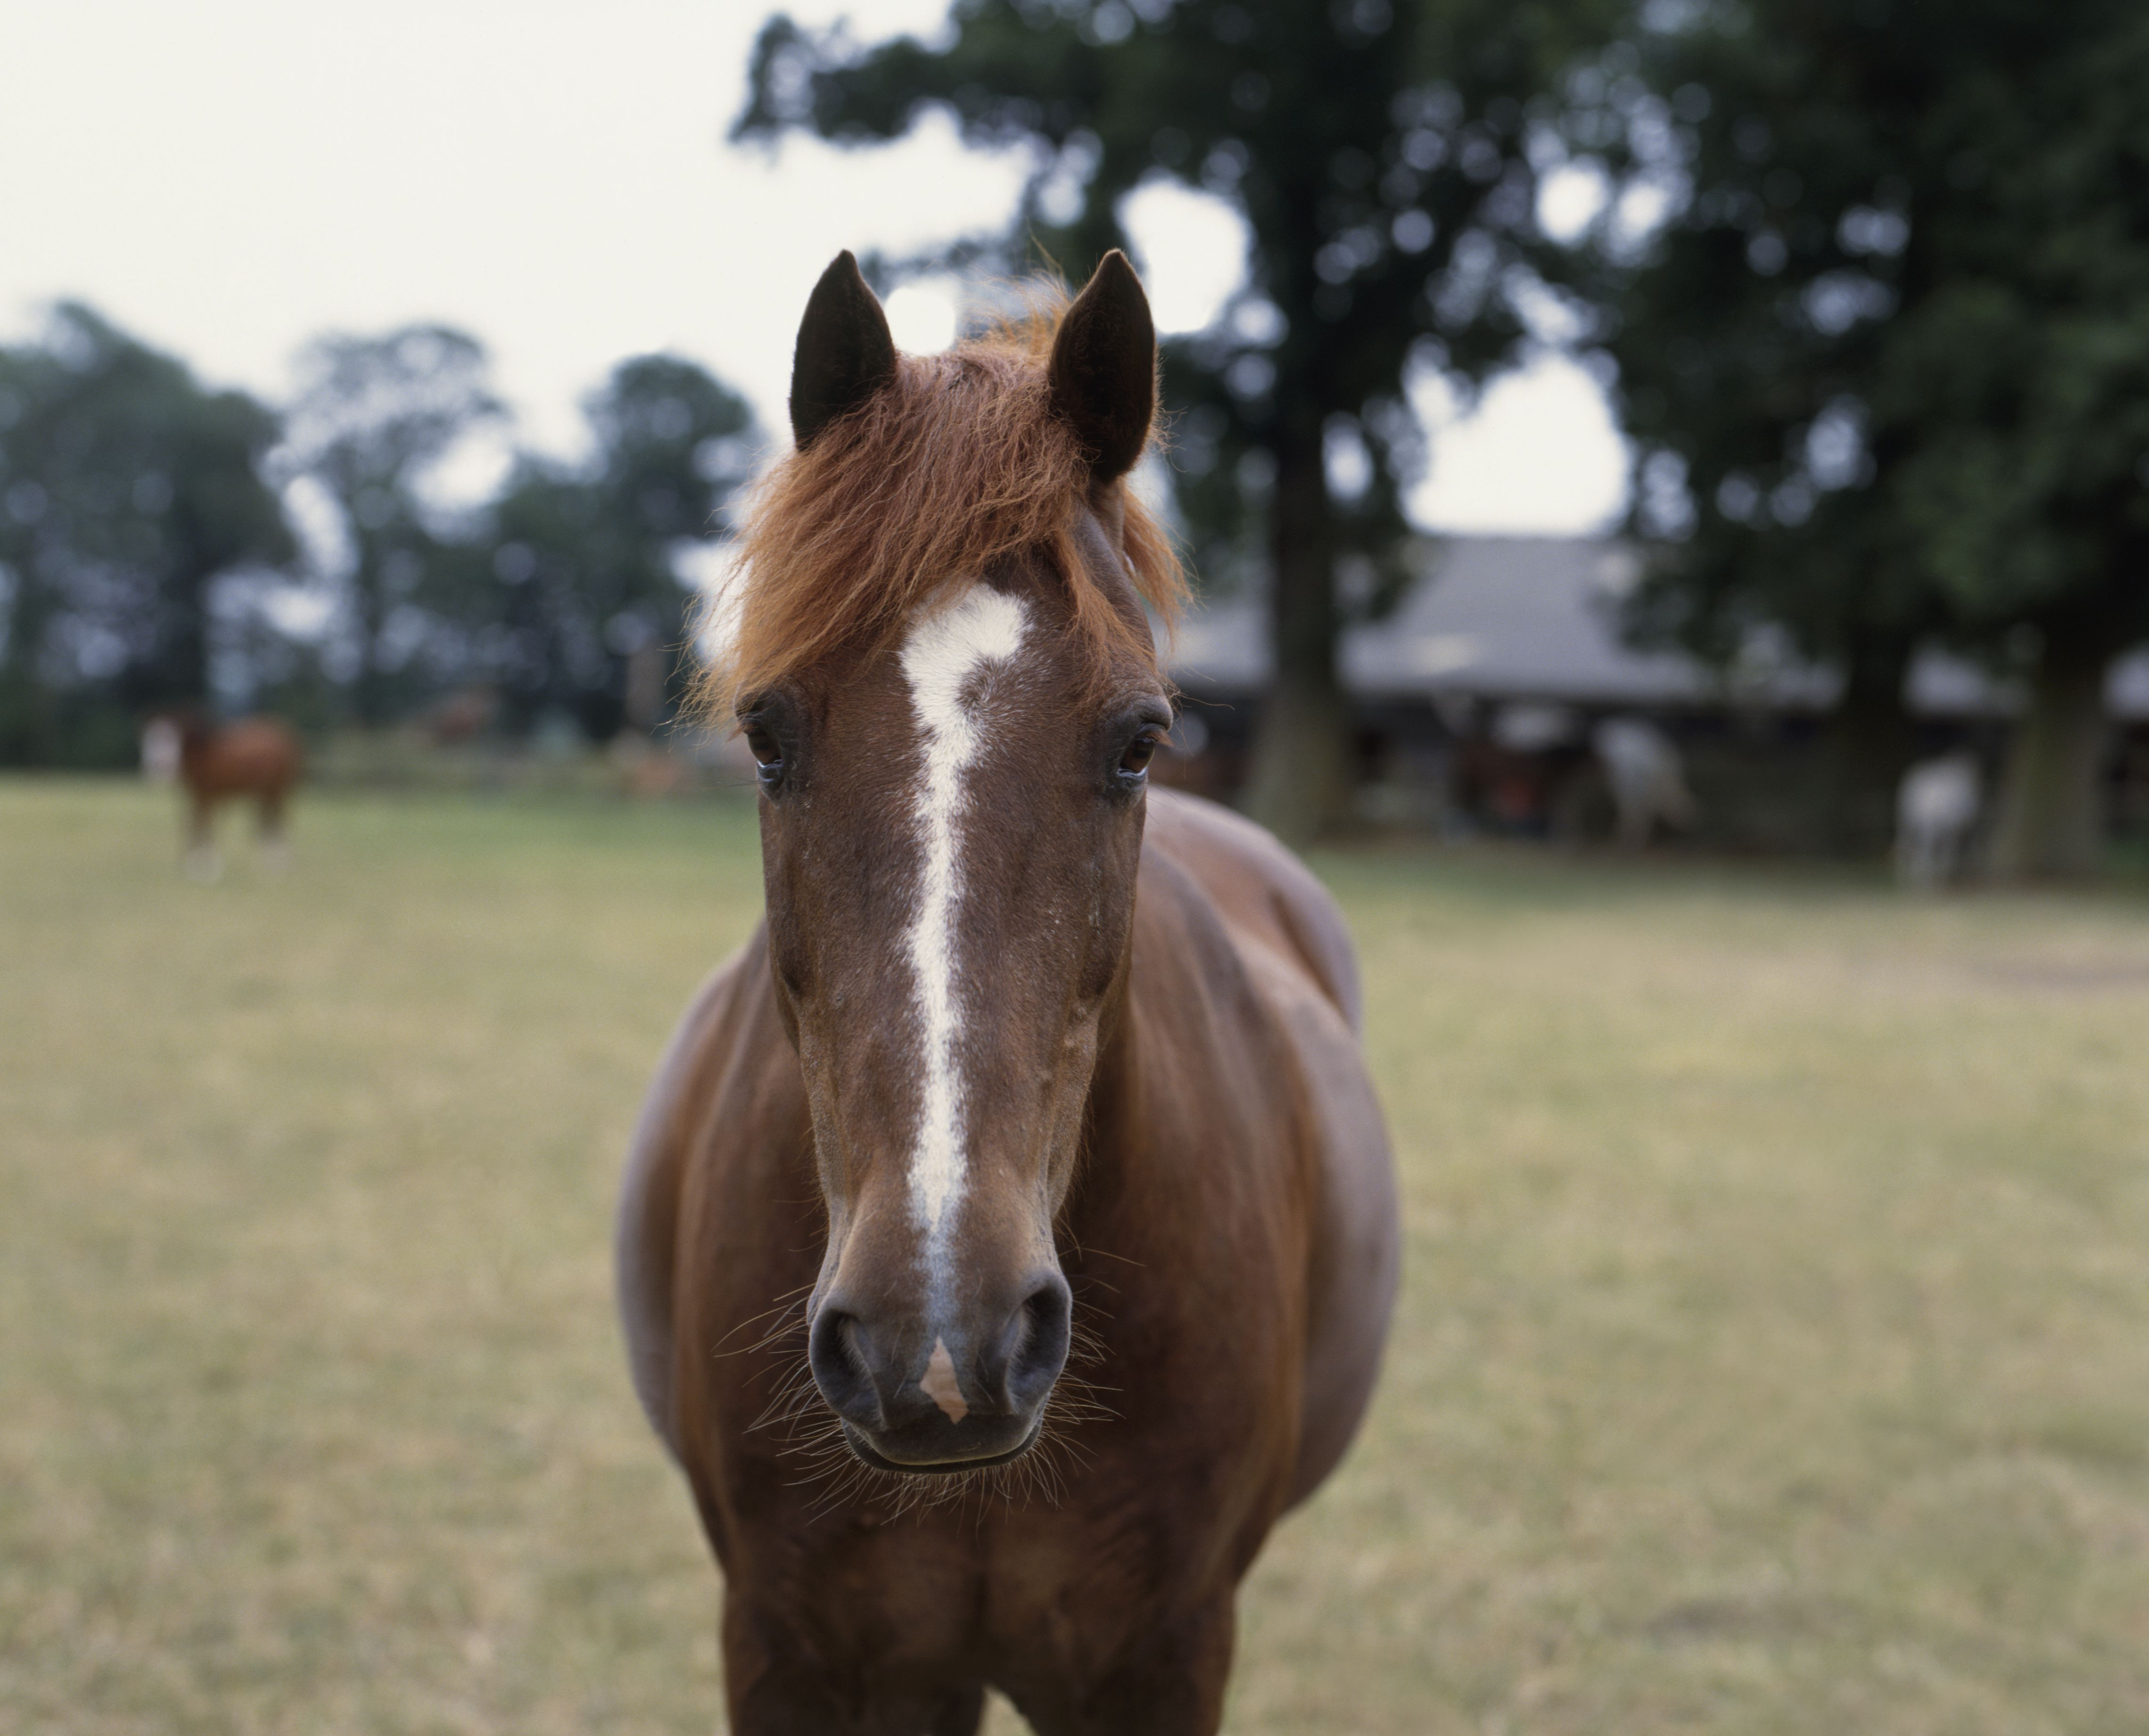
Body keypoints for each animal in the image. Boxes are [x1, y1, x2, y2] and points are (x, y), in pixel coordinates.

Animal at [140, 713, 305, 880]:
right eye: (149, 740)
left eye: (175, 740)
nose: (161, 766)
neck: (202, 755)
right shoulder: (195, 795)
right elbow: (192, 824)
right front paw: (191, 864)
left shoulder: (208, 795)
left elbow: (205, 825)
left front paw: (206, 868)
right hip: (266, 792)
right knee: (268, 821)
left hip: (277, 788)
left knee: (278, 820)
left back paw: (278, 863)